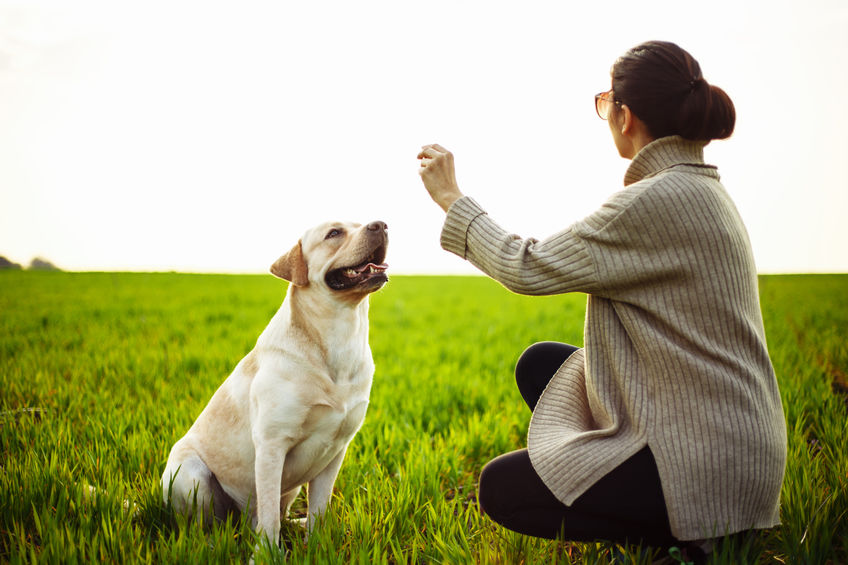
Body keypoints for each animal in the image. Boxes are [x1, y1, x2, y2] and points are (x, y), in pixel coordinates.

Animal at [161, 218, 390, 544]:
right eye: (334, 233)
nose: (381, 224)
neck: (340, 333)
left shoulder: (336, 449)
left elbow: (319, 509)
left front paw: (316, 545)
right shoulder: (272, 444)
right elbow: (269, 518)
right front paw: (268, 551)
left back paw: (297, 524)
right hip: (190, 474)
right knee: (205, 526)